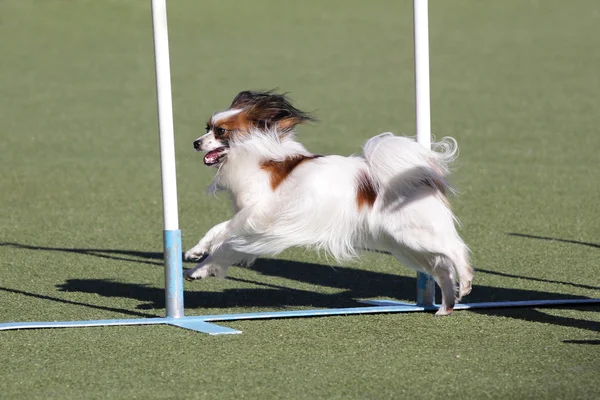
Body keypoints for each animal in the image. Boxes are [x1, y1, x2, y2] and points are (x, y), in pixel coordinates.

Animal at [185, 90, 472, 316]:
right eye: (206, 128)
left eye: (220, 132)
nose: (196, 143)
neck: (255, 155)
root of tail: (419, 176)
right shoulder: (252, 227)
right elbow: (223, 244)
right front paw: (199, 266)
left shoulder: (257, 216)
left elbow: (221, 232)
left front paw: (198, 254)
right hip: (406, 244)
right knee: (442, 269)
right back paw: (446, 307)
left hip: (414, 235)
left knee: (455, 249)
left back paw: (467, 281)